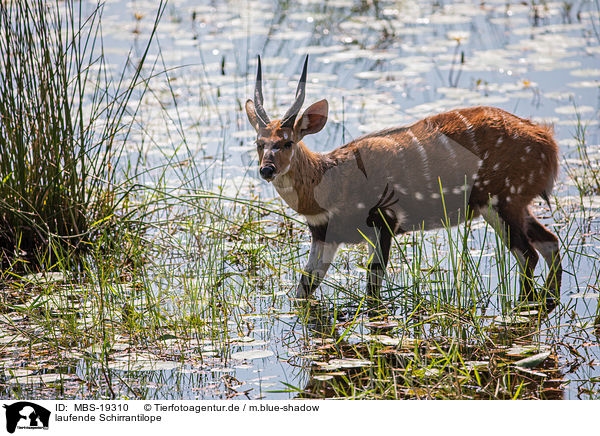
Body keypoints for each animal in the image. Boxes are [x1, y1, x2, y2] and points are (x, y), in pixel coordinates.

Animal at [245, 55, 564, 306]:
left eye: (287, 142)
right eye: (259, 143)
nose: (267, 170)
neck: (331, 182)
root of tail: (547, 142)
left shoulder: (383, 221)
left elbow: (373, 292)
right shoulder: (324, 234)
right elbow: (305, 286)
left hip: (501, 199)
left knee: (528, 254)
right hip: (513, 204)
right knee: (550, 242)